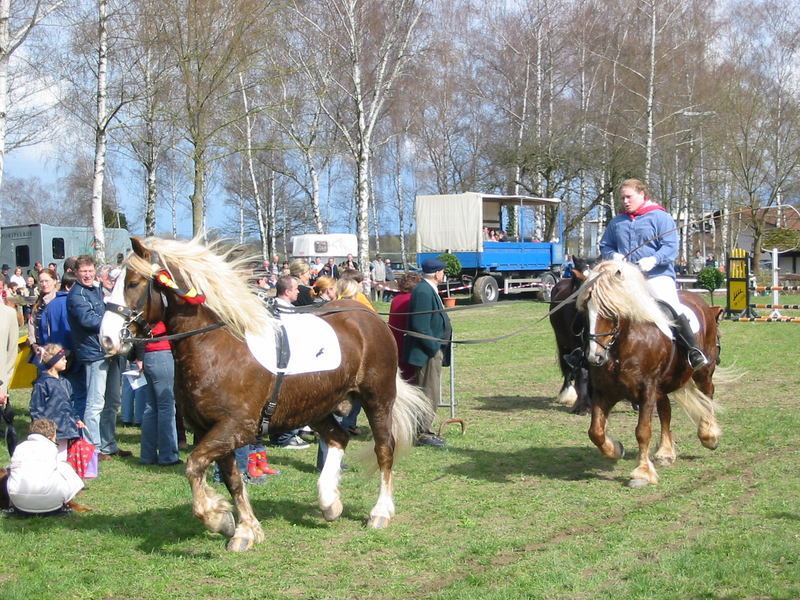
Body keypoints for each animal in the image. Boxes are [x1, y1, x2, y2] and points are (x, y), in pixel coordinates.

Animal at [104, 237, 438, 552]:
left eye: (133, 282)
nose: (106, 339)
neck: (219, 346)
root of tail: (366, 315)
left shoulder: (236, 428)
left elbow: (195, 466)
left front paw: (217, 518)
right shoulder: (210, 431)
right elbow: (231, 479)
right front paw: (243, 529)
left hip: (377, 398)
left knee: (384, 449)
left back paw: (380, 511)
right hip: (315, 407)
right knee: (338, 438)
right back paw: (329, 502)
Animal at [576, 262, 724, 488]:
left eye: (610, 311)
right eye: (586, 311)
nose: (595, 357)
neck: (624, 347)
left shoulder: (646, 391)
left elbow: (642, 431)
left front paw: (642, 474)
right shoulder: (604, 392)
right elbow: (596, 432)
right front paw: (615, 450)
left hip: (703, 373)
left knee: (707, 396)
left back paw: (709, 435)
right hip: (662, 387)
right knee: (666, 412)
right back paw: (665, 452)